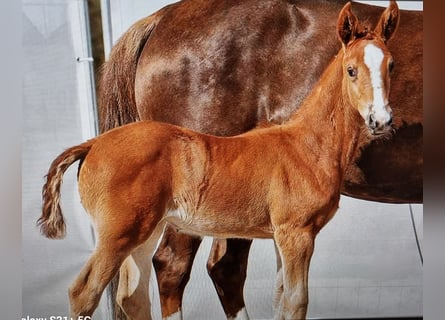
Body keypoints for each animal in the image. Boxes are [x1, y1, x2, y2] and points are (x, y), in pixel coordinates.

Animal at [38, 1, 398, 318]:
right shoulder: (296, 233)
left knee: (131, 296)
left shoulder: (283, 237)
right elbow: (297, 302)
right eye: (351, 70)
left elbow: (281, 301)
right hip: (117, 235)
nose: (380, 119)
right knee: (84, 292)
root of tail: (92, 144)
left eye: (391, 65)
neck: (305, 143)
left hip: (144, 231)